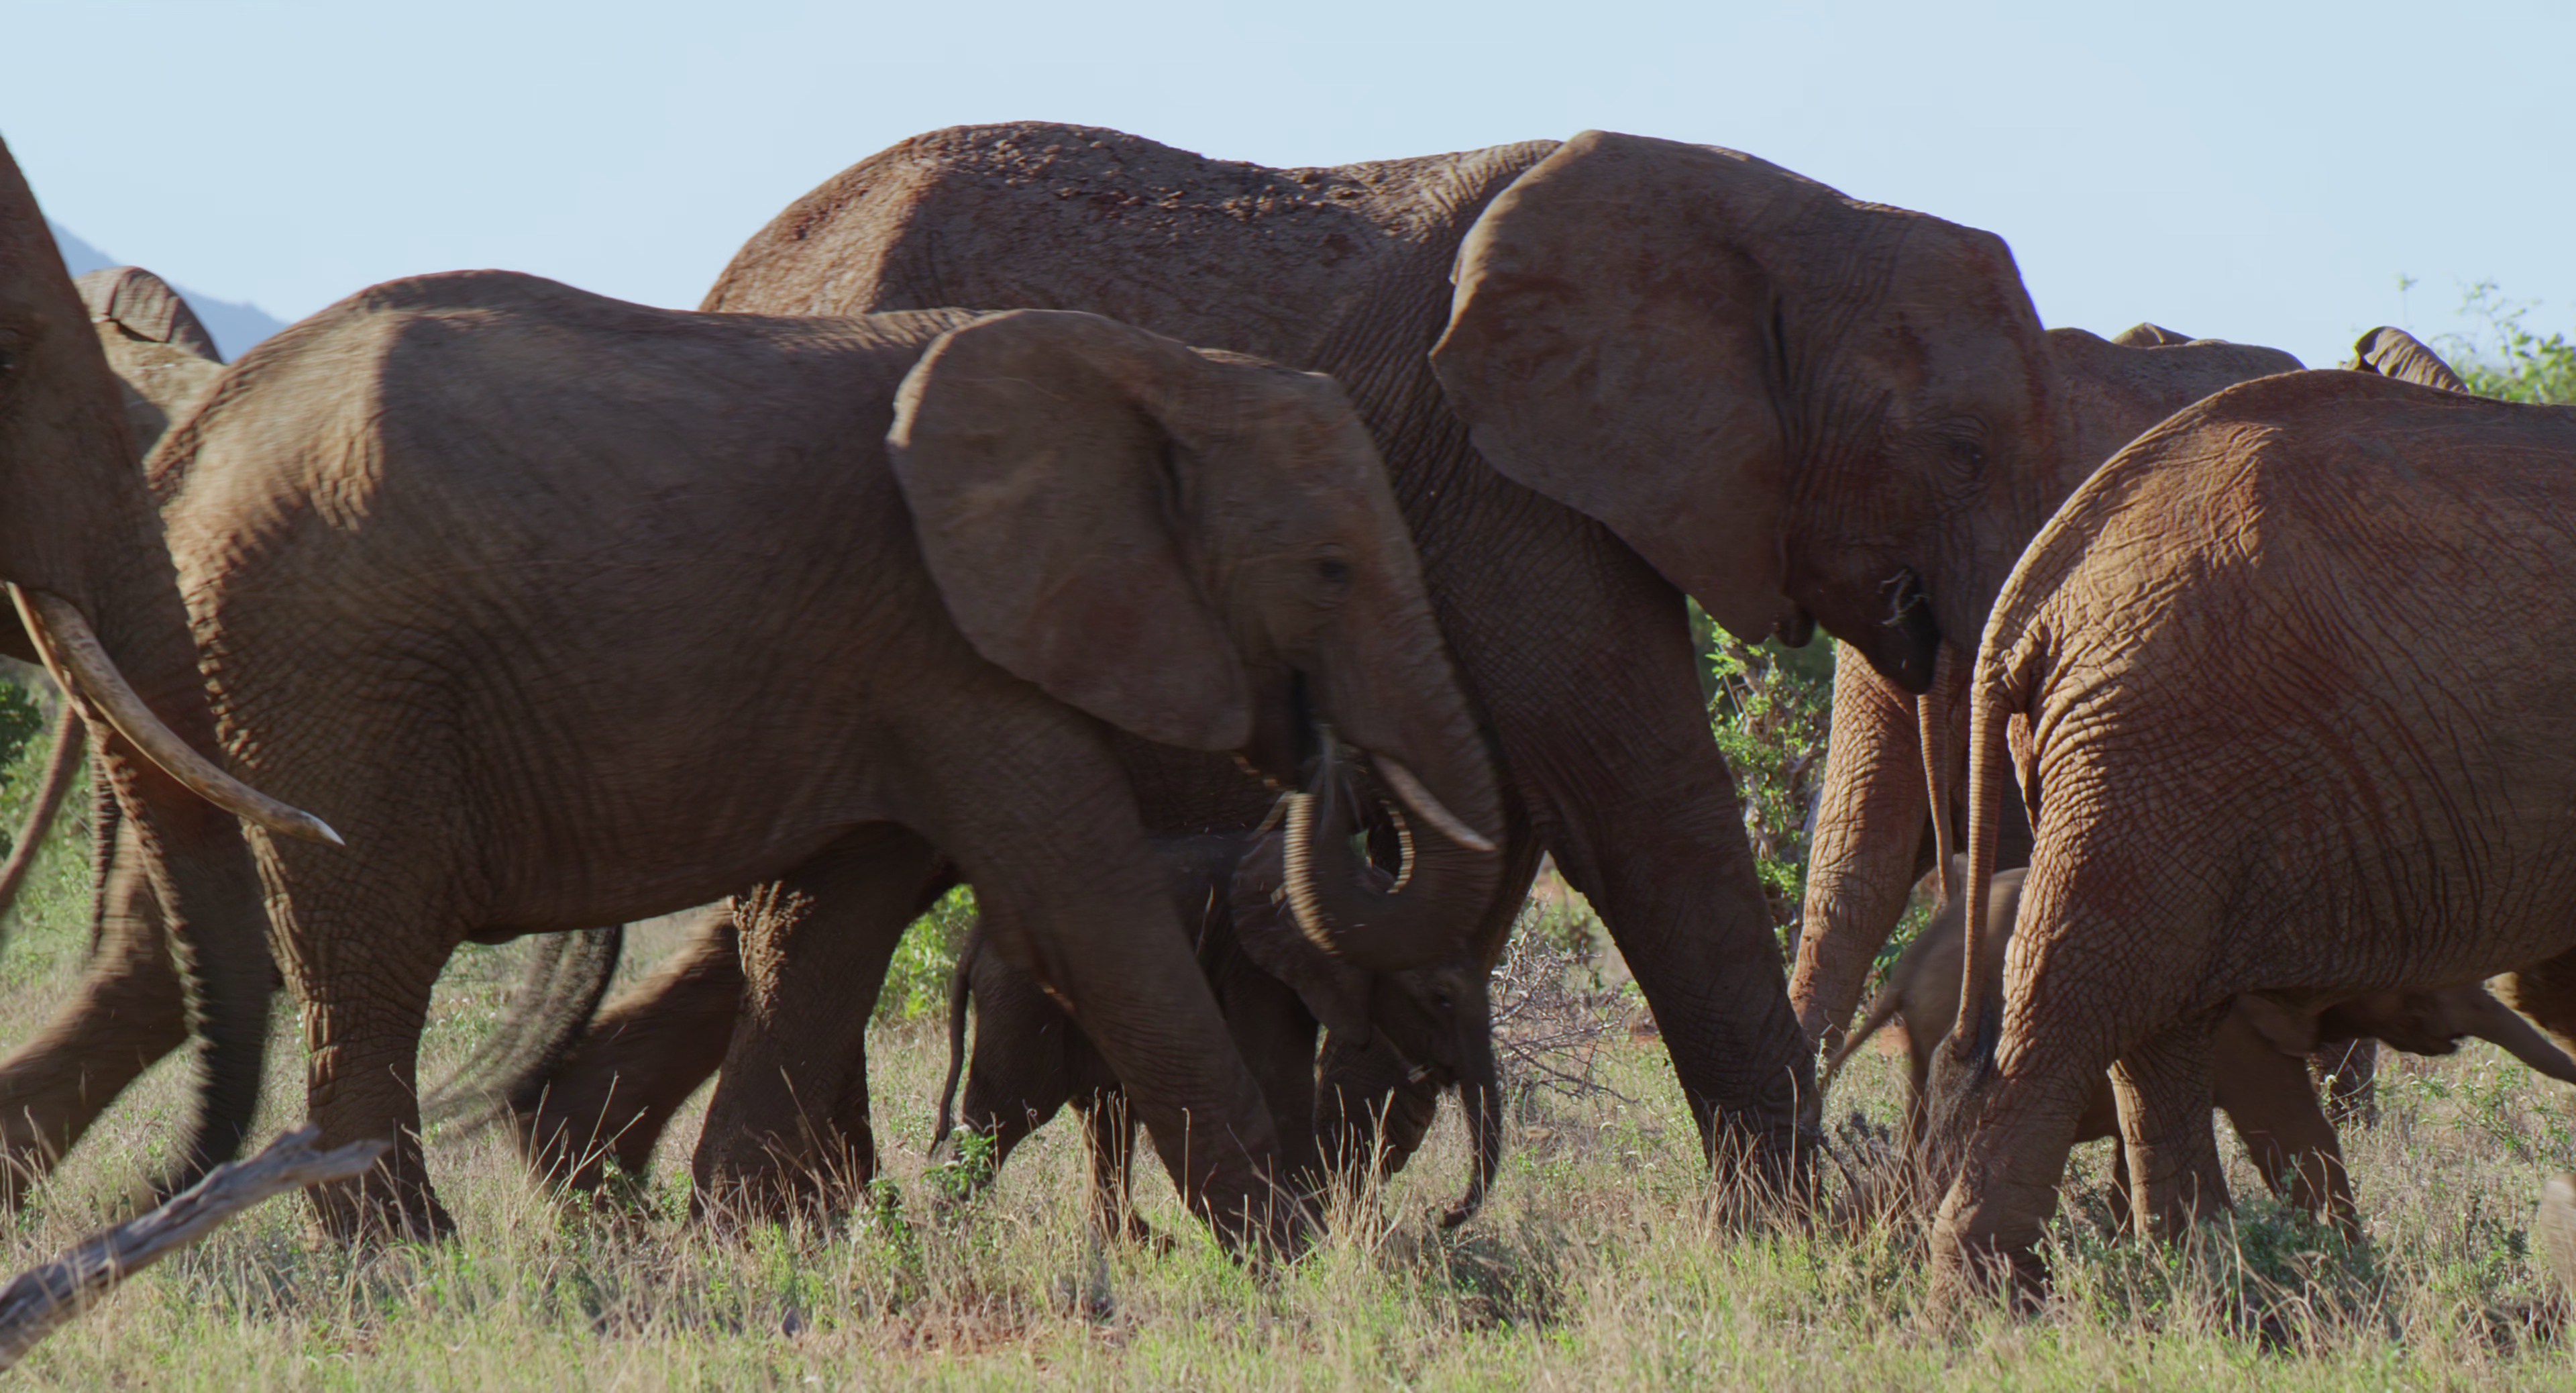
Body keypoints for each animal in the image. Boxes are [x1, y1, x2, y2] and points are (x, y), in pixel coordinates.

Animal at [1927, 370, 2576, 1302]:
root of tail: (2037, 588)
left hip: (2138, 770)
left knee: (2157, 1039)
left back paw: (2209, 1290)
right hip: (2160, 752)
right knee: (2073, 1009)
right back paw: (1985, 1312)